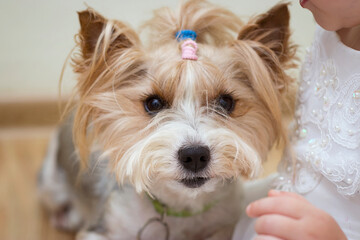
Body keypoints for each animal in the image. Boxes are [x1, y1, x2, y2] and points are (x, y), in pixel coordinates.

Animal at [37, 0, 296, 239]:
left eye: (226, 102)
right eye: (153, 103)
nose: (194, 155)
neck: (181, 208)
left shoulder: (225, 222)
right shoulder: (100, 229)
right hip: (50, 182)